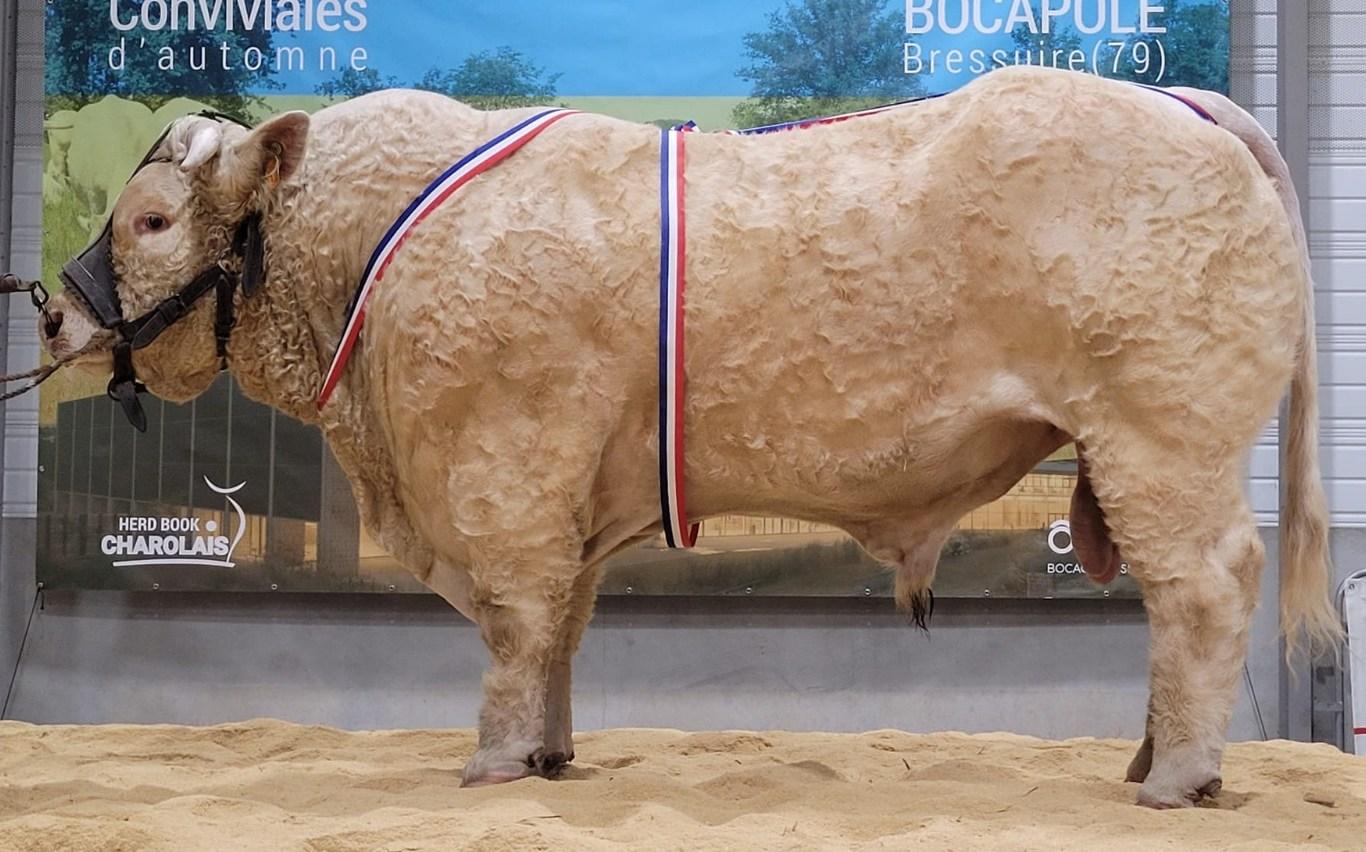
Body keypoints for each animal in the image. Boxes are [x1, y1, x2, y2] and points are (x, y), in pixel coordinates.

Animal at [40, 66, 1340, 807]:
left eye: (150, 220)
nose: (52, 311)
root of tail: (1182, 102)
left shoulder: (504, 466)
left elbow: (514, 620)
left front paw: (493, 764)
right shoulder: (565, 493)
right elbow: (560, 625)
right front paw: (552, 755)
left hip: (1159, 436)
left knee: (1204, 586)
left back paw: (1178, 777)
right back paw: (1152, 758)